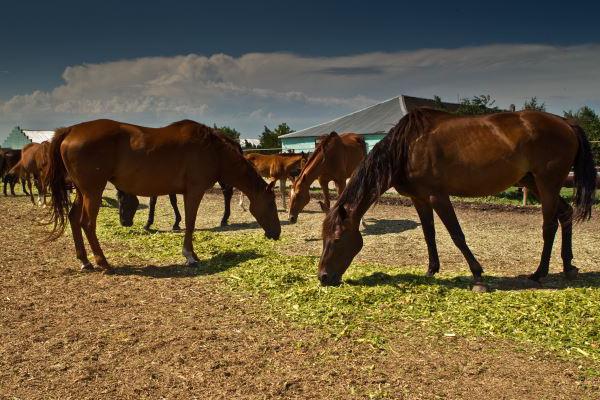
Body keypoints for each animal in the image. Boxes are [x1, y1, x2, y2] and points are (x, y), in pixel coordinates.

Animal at [44, 117, 282, 270]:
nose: (277, 233)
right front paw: (190, 255)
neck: (212, 149)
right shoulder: (194, 191)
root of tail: (71, 130)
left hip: (82, 191)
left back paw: (85, 261)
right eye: (271, 204)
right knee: (87, 223)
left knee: (74, 218)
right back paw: (102, 262)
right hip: (93, 191)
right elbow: (190, 222)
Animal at [318, 109, 596, 290]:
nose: (323, 277)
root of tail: (566, 123)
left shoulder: (438, 196)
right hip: (534, 183)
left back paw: (539, 273)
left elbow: (456, 235)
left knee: (549, 226)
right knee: (565, 214)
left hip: (547, 183)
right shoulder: (420, 199)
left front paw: (478, 275)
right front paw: (431, 270)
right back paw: (568, 267)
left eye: (337, 239)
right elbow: (429, 234)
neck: (407, 148)